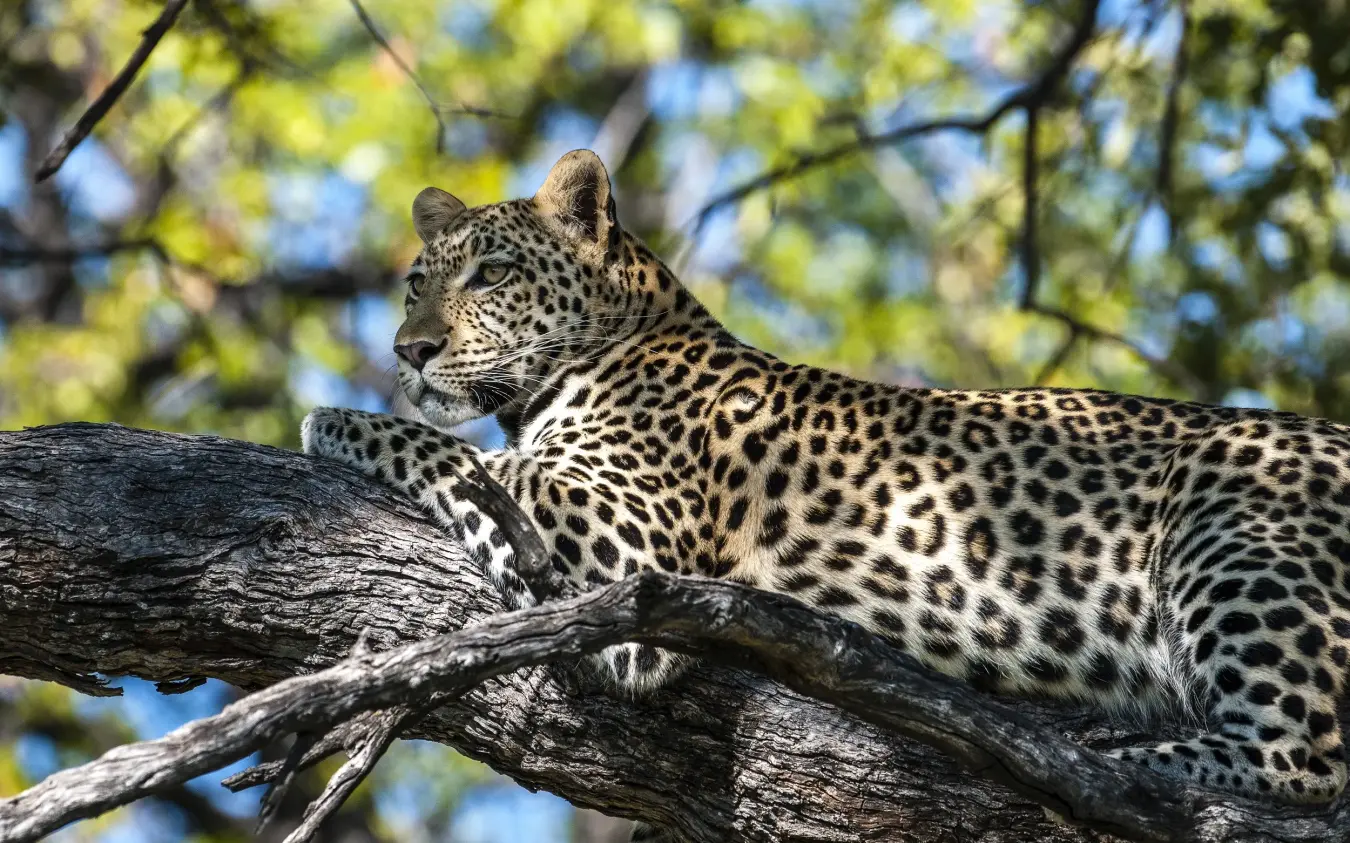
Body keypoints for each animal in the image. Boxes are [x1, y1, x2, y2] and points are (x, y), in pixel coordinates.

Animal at [303, 149, 1350, 831]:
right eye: (414, 283)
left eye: (493, 273)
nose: (409, 350)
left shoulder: (634, 554)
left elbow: (468, 460)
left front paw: (333, 420)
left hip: (1233, 519)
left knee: (1308, 758)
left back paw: (1118, 762)